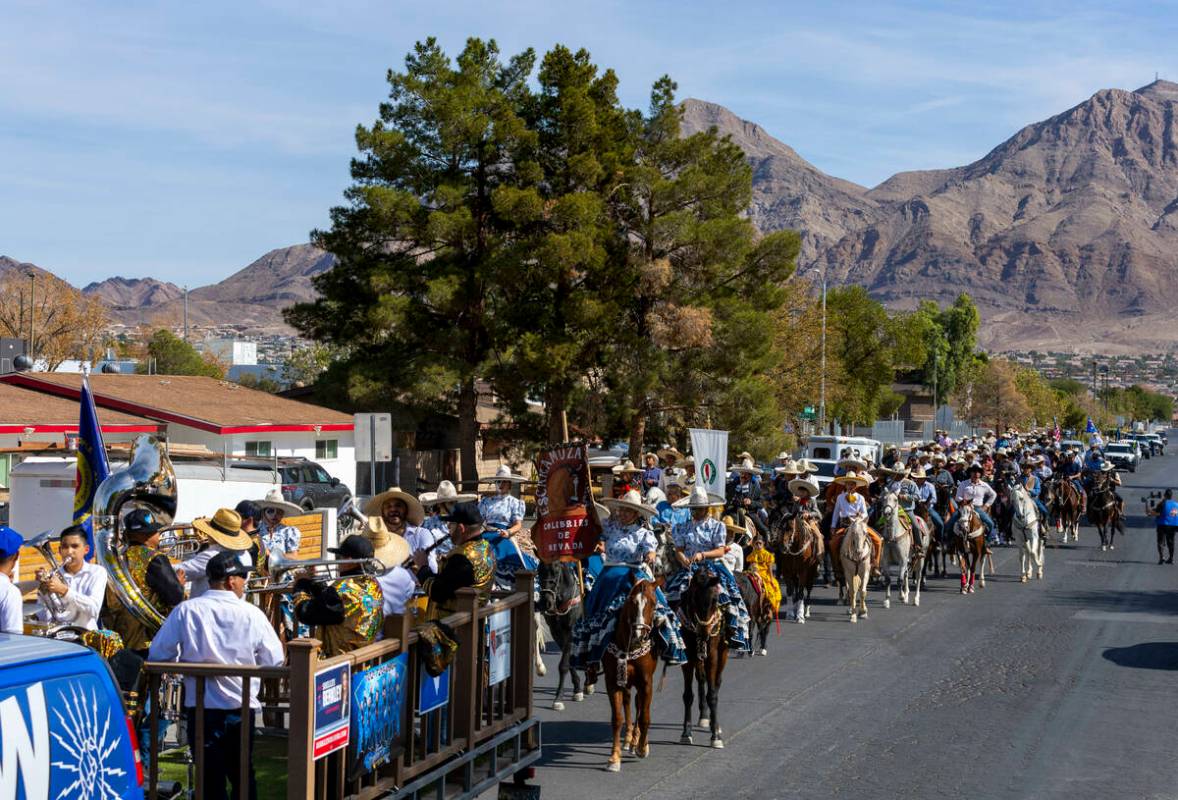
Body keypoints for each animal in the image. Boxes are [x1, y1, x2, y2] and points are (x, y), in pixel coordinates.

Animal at [537, 560, 586, 711]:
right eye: (539, 570)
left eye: (556, 571)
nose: (545, 602)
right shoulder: (556, 632)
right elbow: (569, 661)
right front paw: (577, 688)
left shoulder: (571, 631)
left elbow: (563, 665)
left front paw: (558, 698)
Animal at [603, 579, 659, 772]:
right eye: (631, 602)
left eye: (654, 604)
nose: (639, 635)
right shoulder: (613, 681)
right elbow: (617, 719)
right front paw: (614, 757)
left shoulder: (646, 682)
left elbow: (645, 716)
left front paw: (642, 747)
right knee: (629, 702)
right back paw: (629, 739)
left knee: (640, 705)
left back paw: (637, 741)